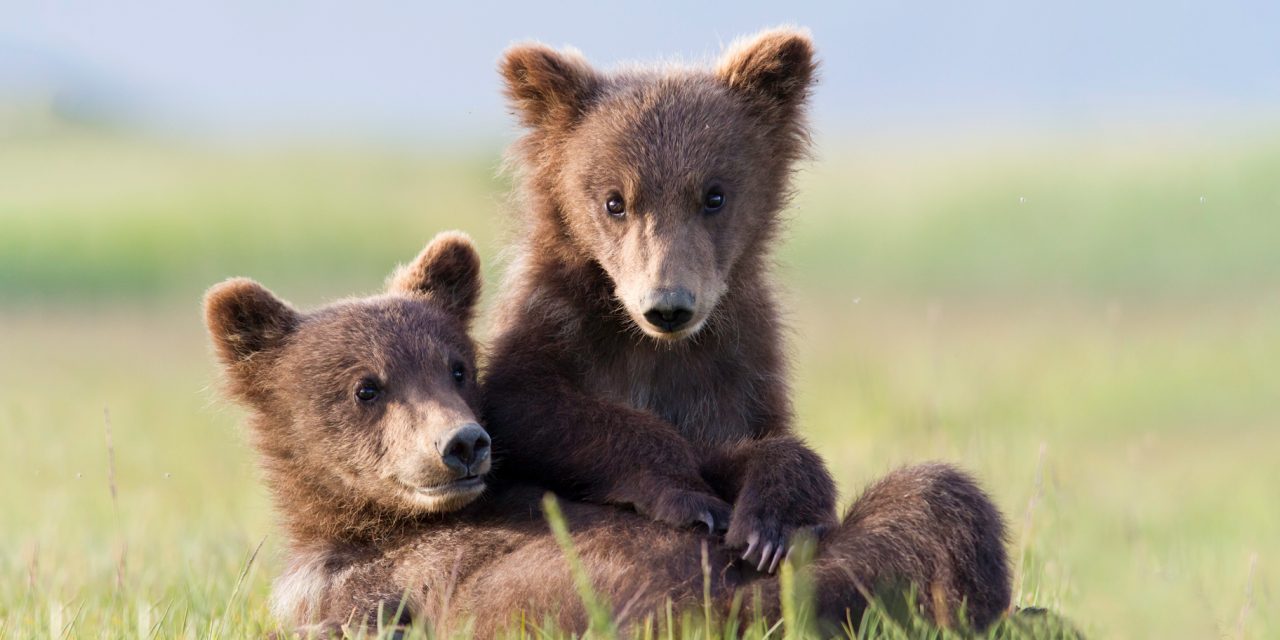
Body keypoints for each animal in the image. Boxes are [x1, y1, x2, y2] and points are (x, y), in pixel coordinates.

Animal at [204, 232, 1012, 636]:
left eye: (457, 367)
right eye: (367, 388)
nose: (462, 444)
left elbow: (722, 462)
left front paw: (764, 519)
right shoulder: (348, 587)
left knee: (938, 495)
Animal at [482, 27, 844, 572]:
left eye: (714, 195)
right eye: (615, 201)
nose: (668, 306)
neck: (654, 348)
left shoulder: (738, 365)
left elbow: (767, 443)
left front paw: (770, 527)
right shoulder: (555, 324)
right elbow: (536, 406)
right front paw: (693, 501)